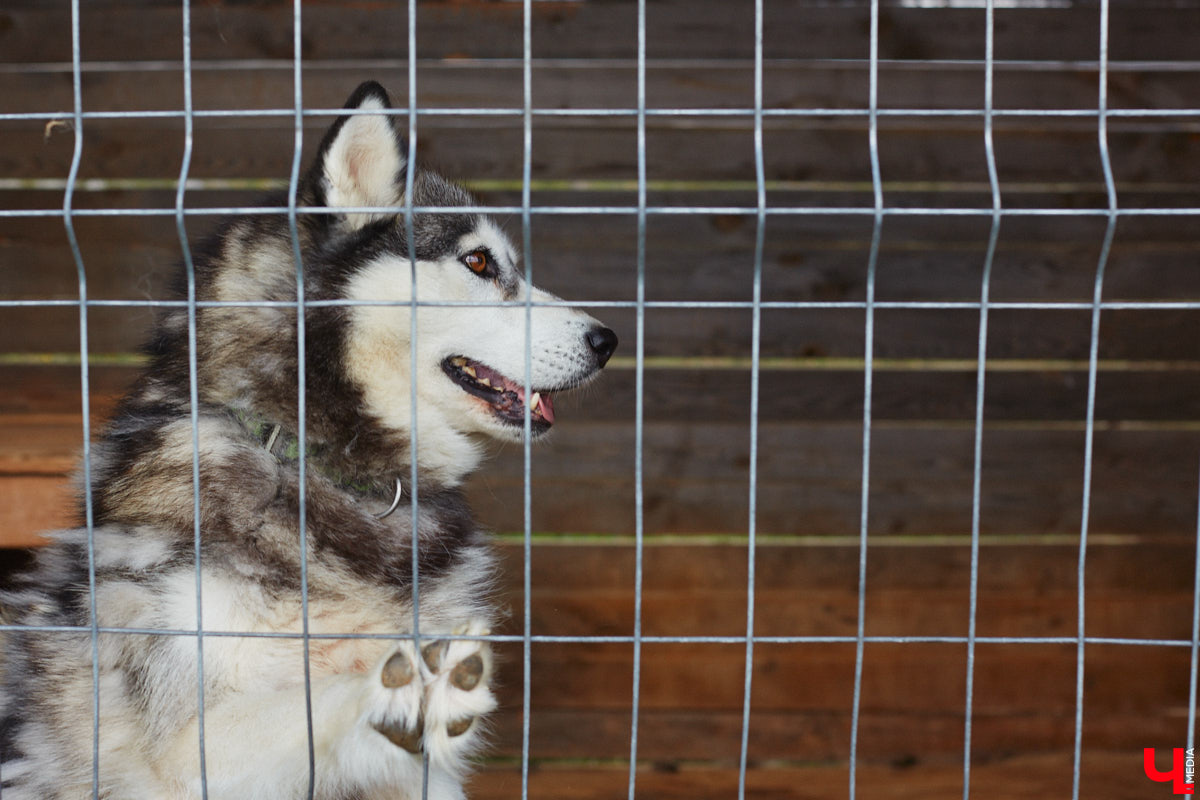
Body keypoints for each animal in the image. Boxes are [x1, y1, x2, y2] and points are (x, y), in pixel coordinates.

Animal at [0, 82, 619, 800]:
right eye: (479, 262)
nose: (607, 340)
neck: (317, 465)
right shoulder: (174, 755)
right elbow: (309, 700)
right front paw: (404, 695)